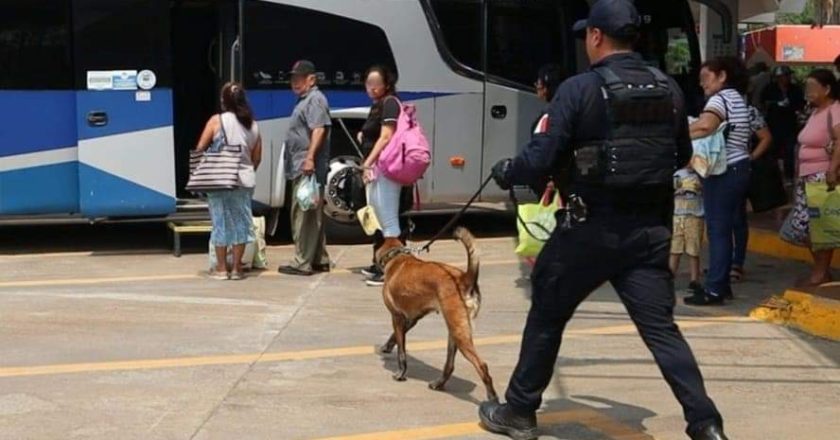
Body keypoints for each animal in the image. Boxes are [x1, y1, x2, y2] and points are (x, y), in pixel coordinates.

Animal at [376, 227, 498, 402]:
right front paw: (387, 346)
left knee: (482, 365)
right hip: (454, 331)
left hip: (459, 334)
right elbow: (396, 337)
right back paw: (439, 383)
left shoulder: (397, 317)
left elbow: (402, 352)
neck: (397, 257)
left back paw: (492, 396)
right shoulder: (411, 318)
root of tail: (464, 278)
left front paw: (400, 374)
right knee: (450, 365)